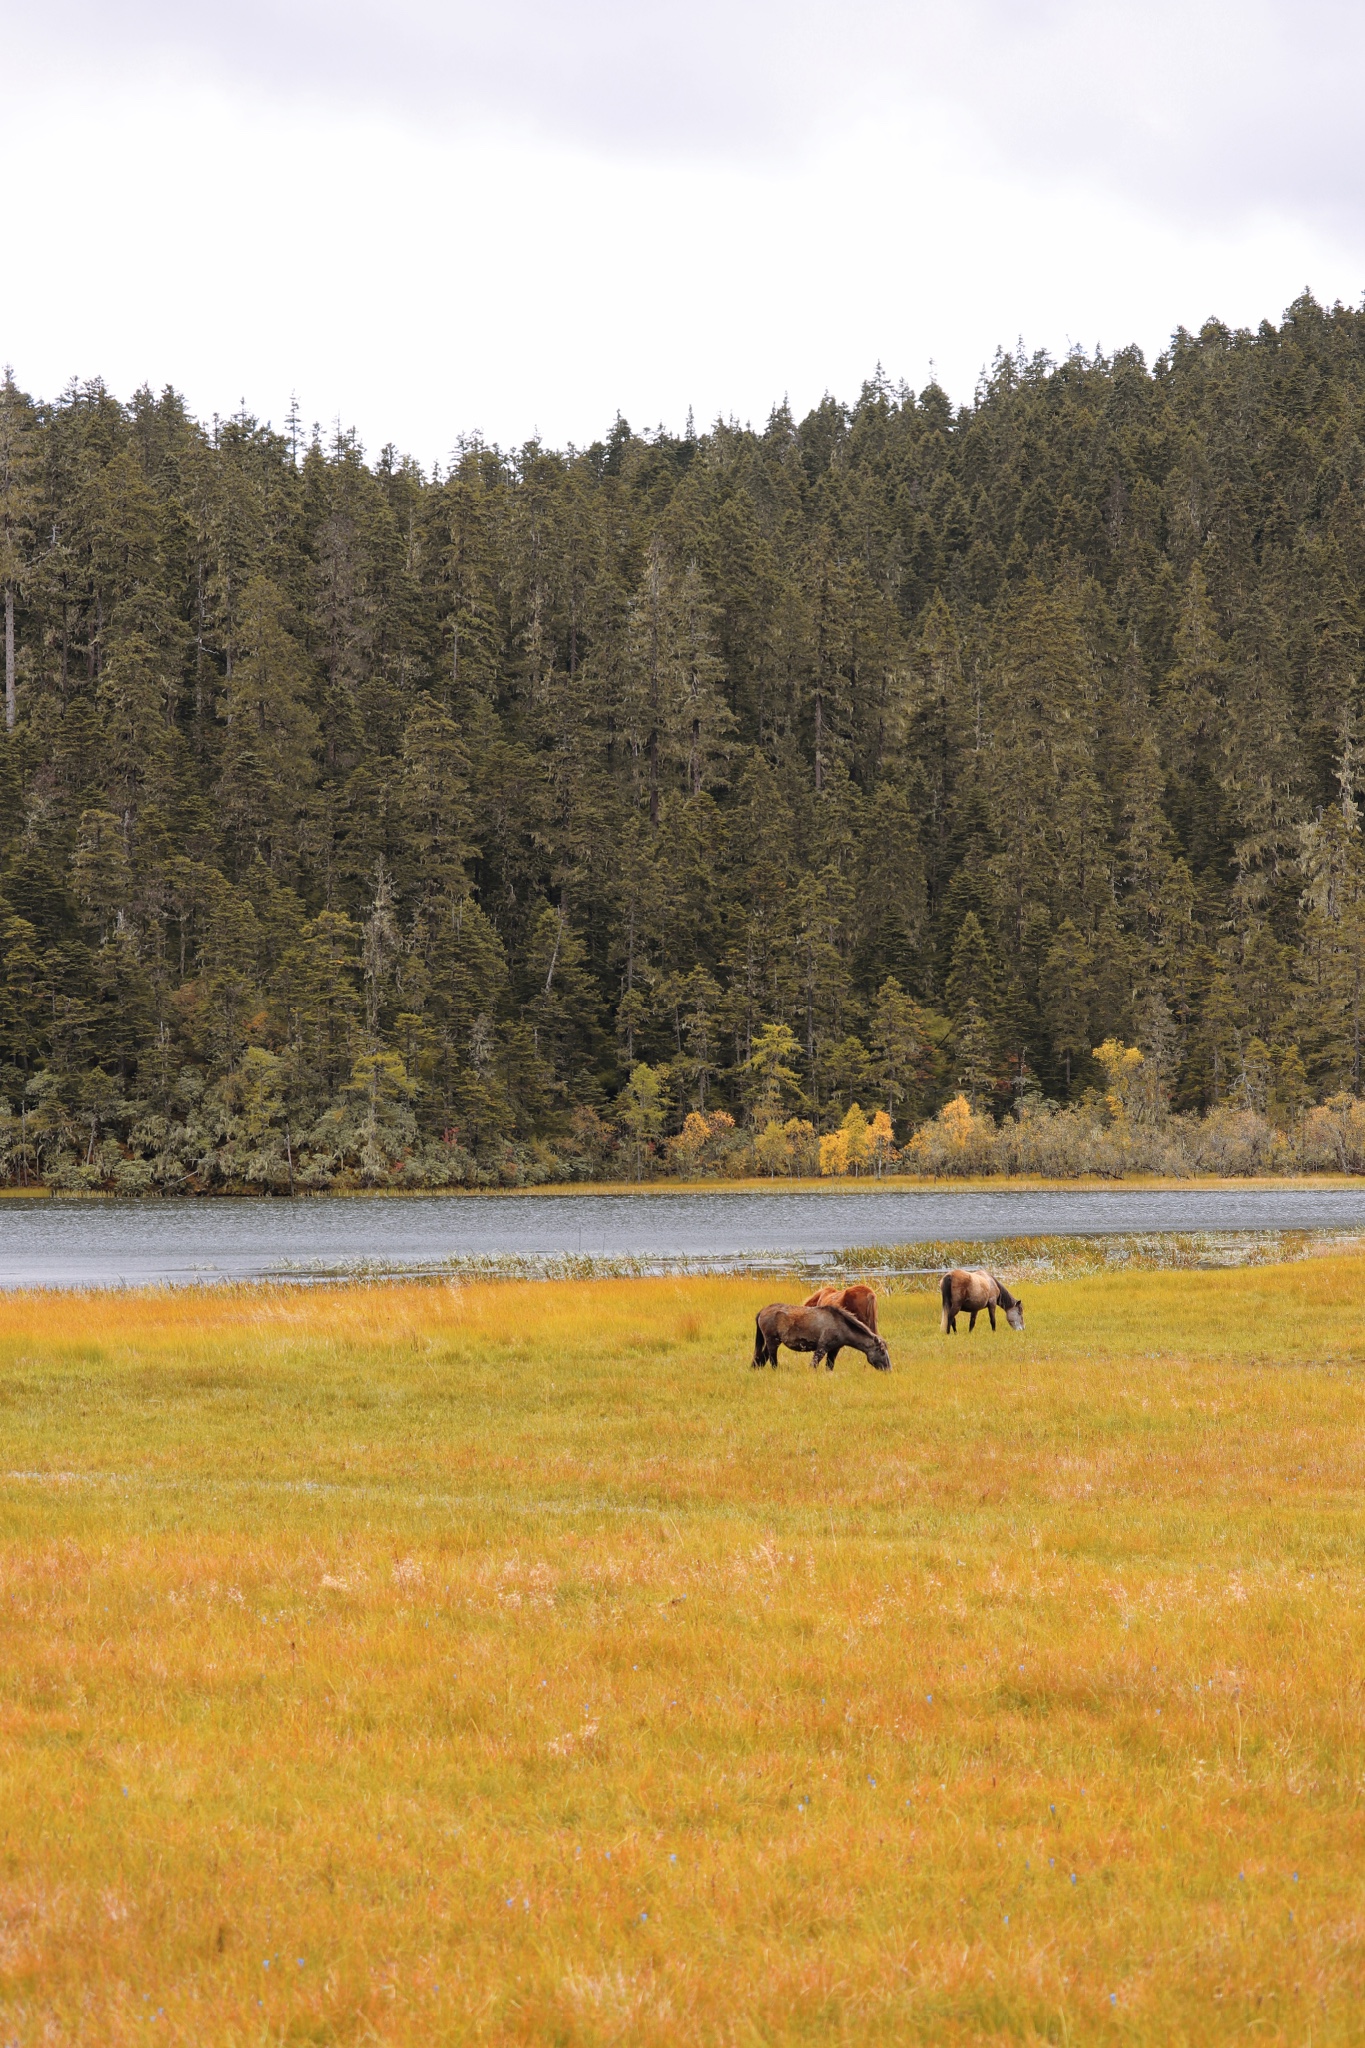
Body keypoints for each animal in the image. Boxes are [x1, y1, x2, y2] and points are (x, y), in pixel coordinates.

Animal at [753, 1302, 892, 1368]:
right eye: (882, 1351)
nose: (889, 1370)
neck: (841, 1325)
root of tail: (762, 1312)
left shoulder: (834, 1350)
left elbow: (829, 1367)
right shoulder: (822, 1348)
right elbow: (813, 1365)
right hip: (772, 1342)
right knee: (772, 1361)